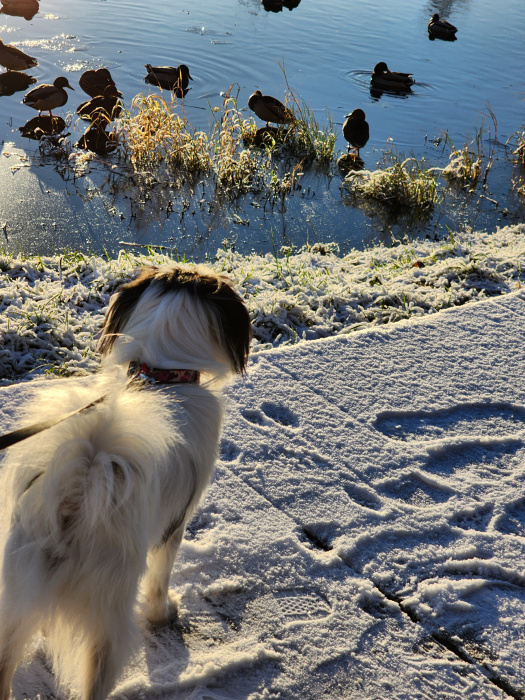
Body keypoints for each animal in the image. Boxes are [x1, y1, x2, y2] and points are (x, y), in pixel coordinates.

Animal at [0, 263, 251, 700]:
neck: (161, 373)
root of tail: (76, 497)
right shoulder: (174, 526)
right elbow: (161, 578)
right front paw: (163, 615)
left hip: (16, 588)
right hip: (108, 619)